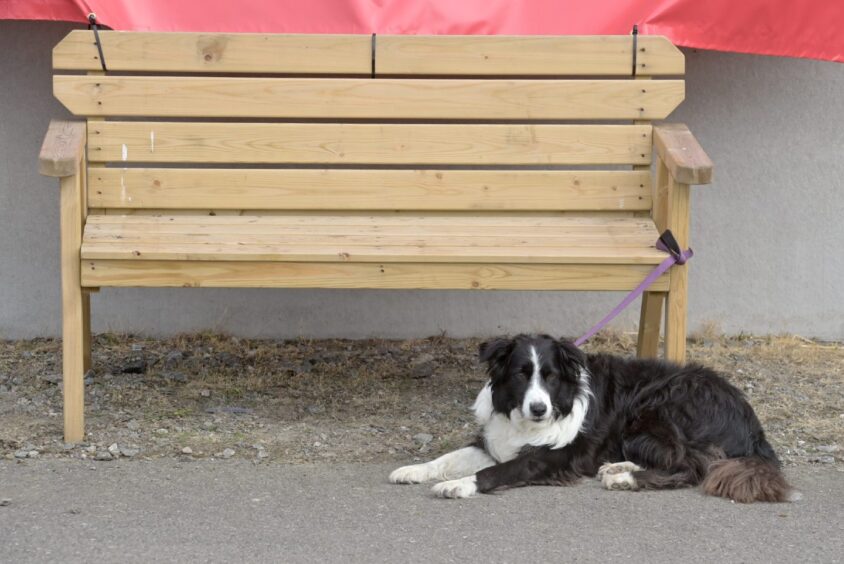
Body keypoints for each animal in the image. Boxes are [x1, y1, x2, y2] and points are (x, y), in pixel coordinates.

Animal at [386, 334, 796, 502]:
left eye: (551, 376)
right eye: (521, 374)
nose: (539, 409)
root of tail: (752, 425)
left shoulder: (548, 457)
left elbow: (492, 472)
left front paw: (458, 485)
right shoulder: (493, 442)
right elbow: (448, 458)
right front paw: (413, 470)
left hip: (652, 410)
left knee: (690, 466)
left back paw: (625, 479)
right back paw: (618, 467)